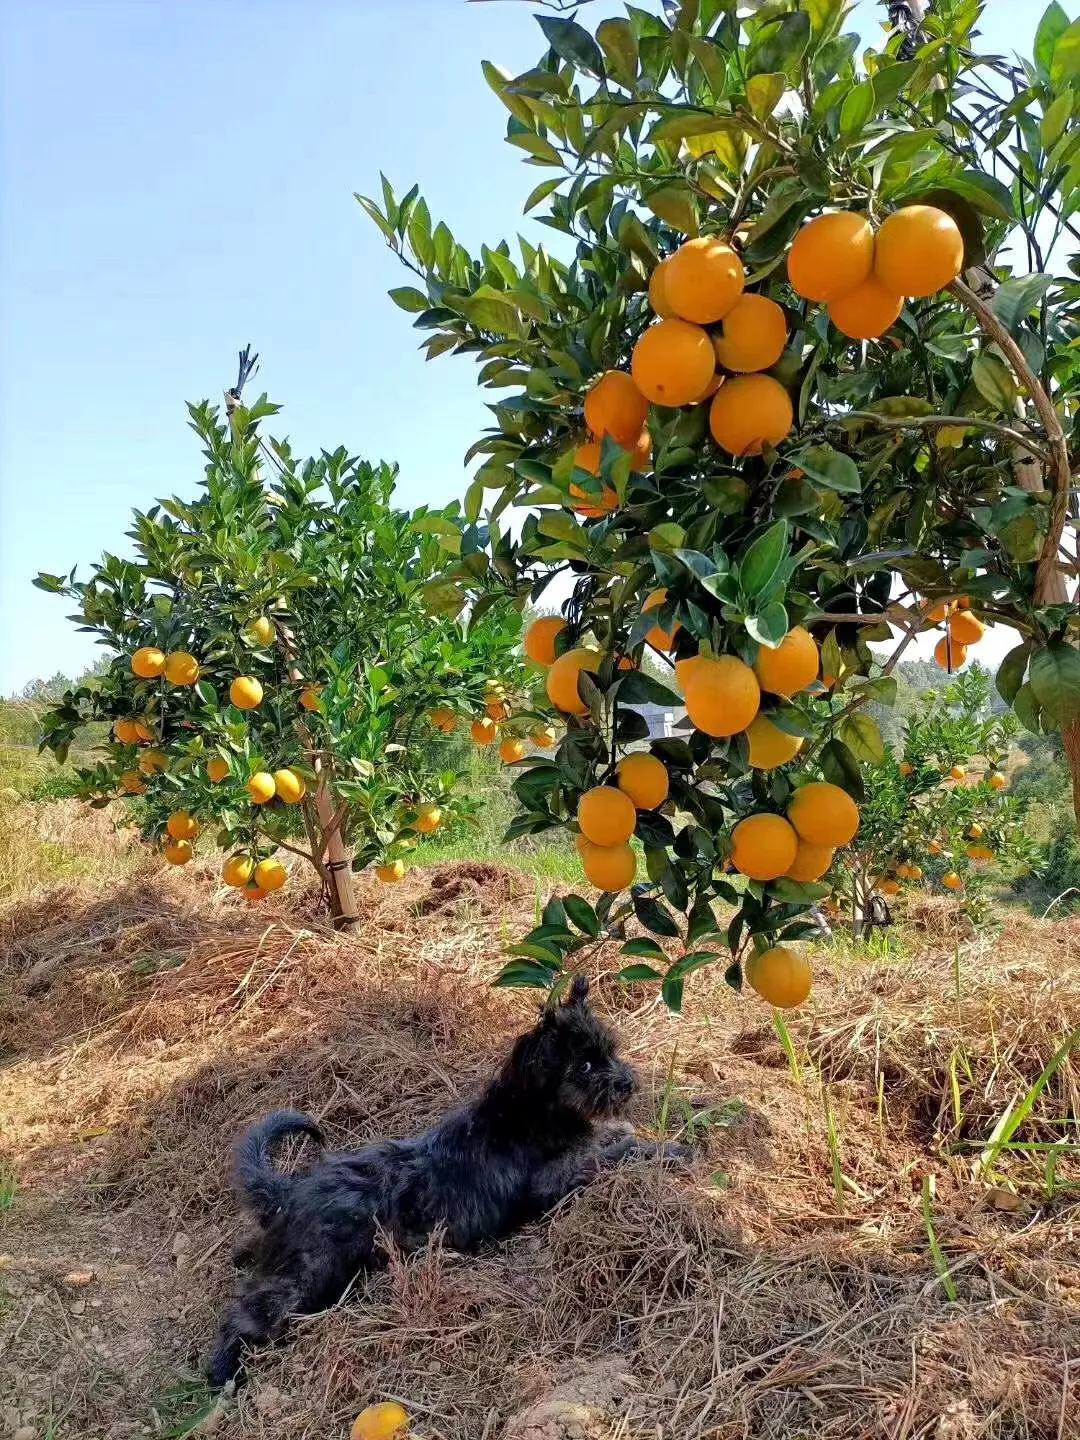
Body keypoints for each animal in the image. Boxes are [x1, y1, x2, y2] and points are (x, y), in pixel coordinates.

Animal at [207, 979, 688, 1382]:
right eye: (586, 1065)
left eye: (610, 1051)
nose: (628, 1083)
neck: (528, 1111)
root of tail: (289, 1190)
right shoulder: (554, 1181)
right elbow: (614, 1156)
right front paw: (668, 1151)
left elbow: (612, 1138)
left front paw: (634, 1134)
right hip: (312, 1272)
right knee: (246, 1312)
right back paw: (223, 1372)